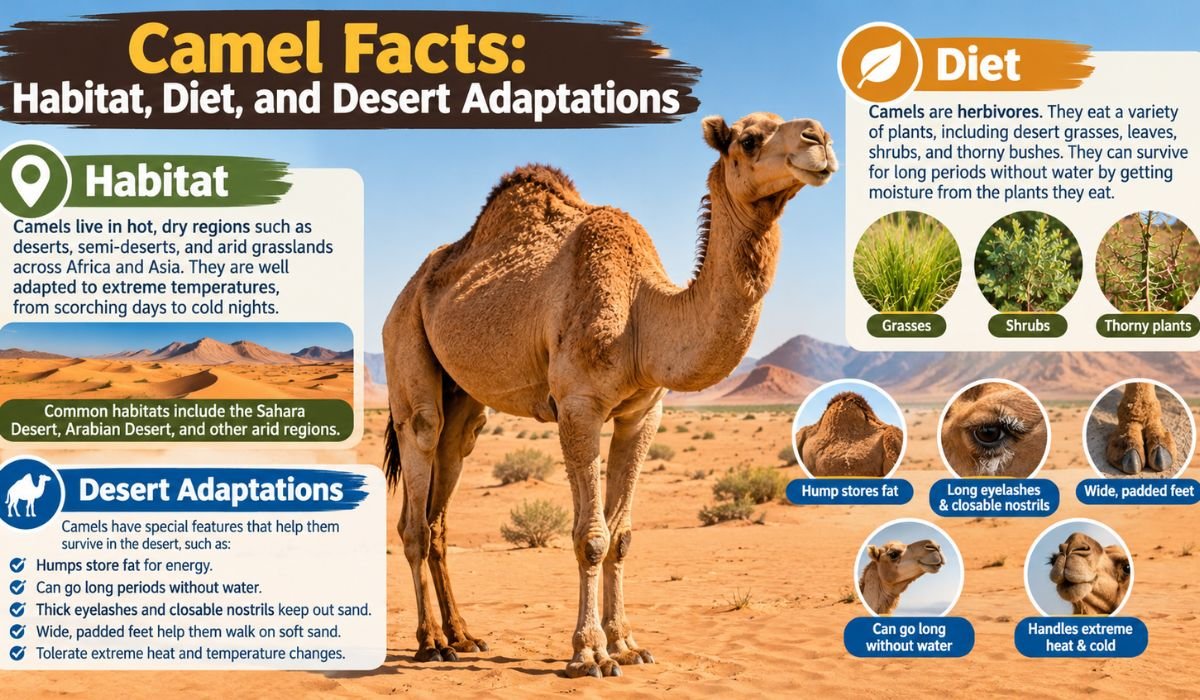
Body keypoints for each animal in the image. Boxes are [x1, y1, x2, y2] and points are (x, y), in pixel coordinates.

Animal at [382, 112, 836, 677]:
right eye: (749, 140)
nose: (819, 139)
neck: (644, 316)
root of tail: (409, 288)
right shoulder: (578, 406)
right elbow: (591, 537)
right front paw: (588, 653)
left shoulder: (642, 412)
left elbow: (620, 537)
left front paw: (627, 644)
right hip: (406, 346)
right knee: (417, 491)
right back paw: (430, 642)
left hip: (464, 398)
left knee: (447, 483)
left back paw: (464, 636)